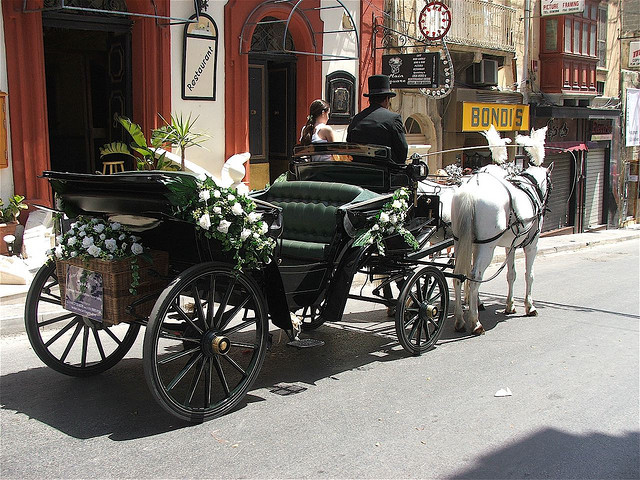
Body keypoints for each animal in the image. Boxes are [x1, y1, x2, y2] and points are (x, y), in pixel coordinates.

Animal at [448, 126, 552, 334]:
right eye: (551, 184)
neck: (531, 189)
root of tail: (470, 191)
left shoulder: (508, 246)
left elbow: (511, 274)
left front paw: (510, 305)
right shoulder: (532, 244)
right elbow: (529, 274)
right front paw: (530, 306)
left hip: (461, 240)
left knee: (459, 276)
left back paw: (460, 320)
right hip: (487, 246)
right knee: (475, 276)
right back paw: (475, 322)